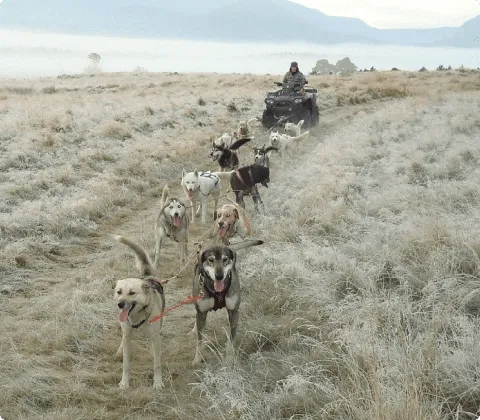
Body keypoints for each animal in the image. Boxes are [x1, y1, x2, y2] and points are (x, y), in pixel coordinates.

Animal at [113, 235, 166, 388]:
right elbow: (126, 364)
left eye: (132, 293)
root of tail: (147, 276)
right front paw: (124, 383)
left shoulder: (155, 335)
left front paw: (158, 382)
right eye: (119, 292)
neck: (137, 315)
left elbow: (157, 364)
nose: (120, 304)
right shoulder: (127, 334)